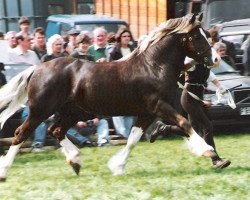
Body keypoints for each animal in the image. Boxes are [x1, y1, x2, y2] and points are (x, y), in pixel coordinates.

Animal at [0, 13, 219, 180]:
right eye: (197, 37)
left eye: (207, 34)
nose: (216, 59)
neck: (154, 66)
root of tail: (37, 68)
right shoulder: (159, 106)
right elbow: (184, 122)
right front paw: (207, 149)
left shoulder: (147, 113)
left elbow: (133, 139)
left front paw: (118, 166)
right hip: (41, 110)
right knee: (22, 133)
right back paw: (4, 171)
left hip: (74, 112)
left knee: (56, 130)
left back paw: (76, 161)